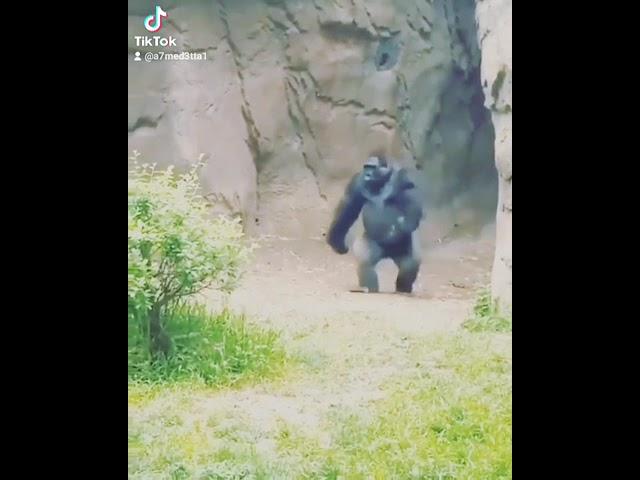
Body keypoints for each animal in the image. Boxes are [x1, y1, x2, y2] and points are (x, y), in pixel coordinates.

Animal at [324, 156, 424, 294]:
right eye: (366, 167)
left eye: (372, 167)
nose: (367, 174)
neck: (382, 181)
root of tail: (387, 254)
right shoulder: (356, 182)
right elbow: (347, 210)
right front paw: (336, 241)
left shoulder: (404, 177)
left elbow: (413, 203)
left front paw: (402, 227)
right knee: (366, 262)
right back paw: (369, 288)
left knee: (409, 264)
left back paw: (403, 289)